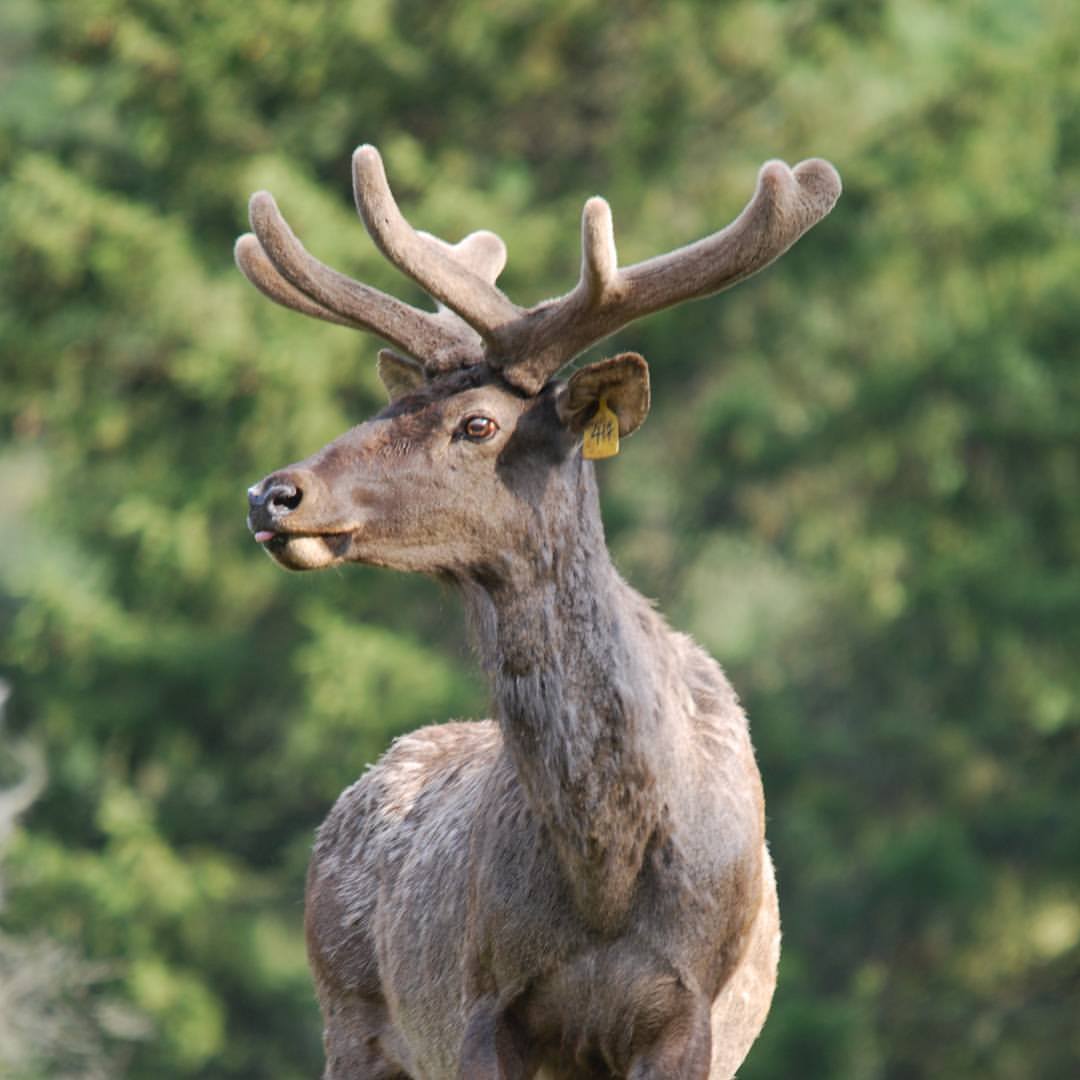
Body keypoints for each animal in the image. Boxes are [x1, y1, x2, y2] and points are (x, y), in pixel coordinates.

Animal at [240, 145, 838, 1080]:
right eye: (383, 408)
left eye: (478, 424)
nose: (274, 494)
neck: (606, 875)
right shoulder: (486, 1004)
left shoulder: (690, 1017)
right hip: (353, 1016)